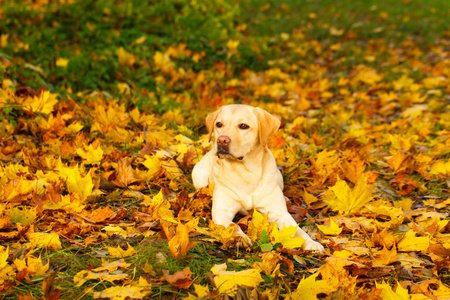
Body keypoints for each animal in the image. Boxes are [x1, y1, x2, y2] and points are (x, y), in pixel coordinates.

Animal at [192, 104, 326, 252]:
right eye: (219, 124)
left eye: (243, 126)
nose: (221, 140)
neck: (246, 172)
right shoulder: (221, 213)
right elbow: (233, 226)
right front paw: (239, 238)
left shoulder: (280, 214)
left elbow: (298, 231)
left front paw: (312, 243)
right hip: (198, 174)